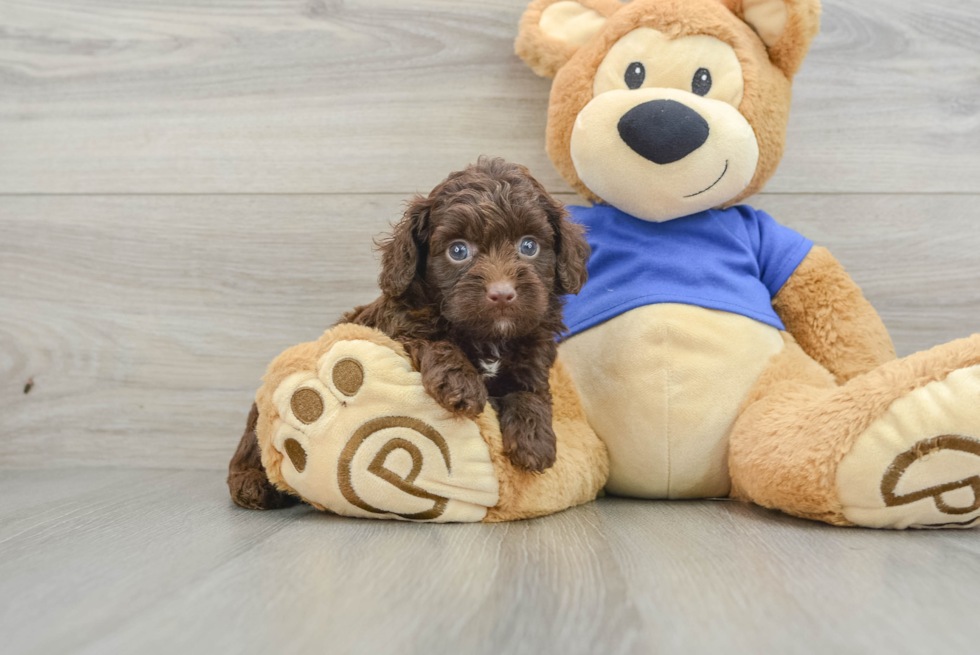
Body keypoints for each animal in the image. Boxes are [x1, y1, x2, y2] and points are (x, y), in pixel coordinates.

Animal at [344, 158, 588, 476]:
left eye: (529, 246)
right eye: (458, 250)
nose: (502, 293)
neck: (490, 337)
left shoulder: (534, 357)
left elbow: (531, 392)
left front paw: (534, 441)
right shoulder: (397, 326)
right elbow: (432, 340)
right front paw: (461, 383)